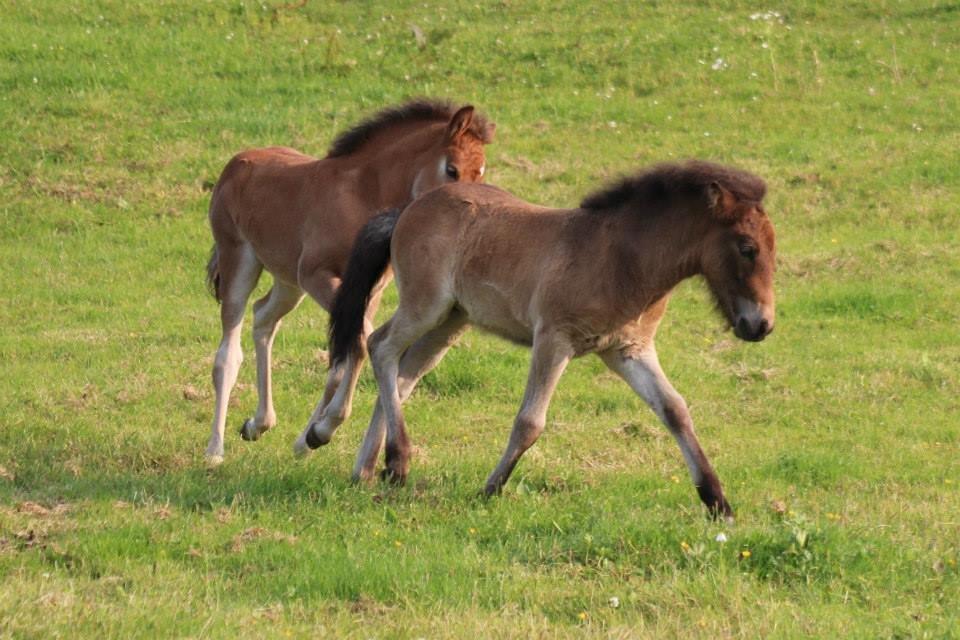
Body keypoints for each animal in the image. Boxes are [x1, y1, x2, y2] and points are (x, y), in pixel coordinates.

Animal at [208, 102, 496, 468]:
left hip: (288, 282)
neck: (362, 196)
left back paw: (258, 423)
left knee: (263, 318)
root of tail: (236, 162)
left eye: (481, 172)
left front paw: (309, 437)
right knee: (228, 352)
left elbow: (345, 355)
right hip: (240, 261)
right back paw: (215, 449)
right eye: (452, 169)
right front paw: (323, 429)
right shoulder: (317, 276)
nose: (467, 207)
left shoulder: (369, 290)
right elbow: (359, 341)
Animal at [328, 161, 772, 520]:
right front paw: (491, 488)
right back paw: (392, 459)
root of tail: (408, 209)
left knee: (404, 374)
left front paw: (717, 502)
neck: (620, 258)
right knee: (380, 345)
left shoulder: (629, 351)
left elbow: (675, 410)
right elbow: (530, 421)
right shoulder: (554, 340)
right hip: (426, 306)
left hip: (450, 321)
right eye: (747, 248)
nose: (761, 325)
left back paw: (366, 469)